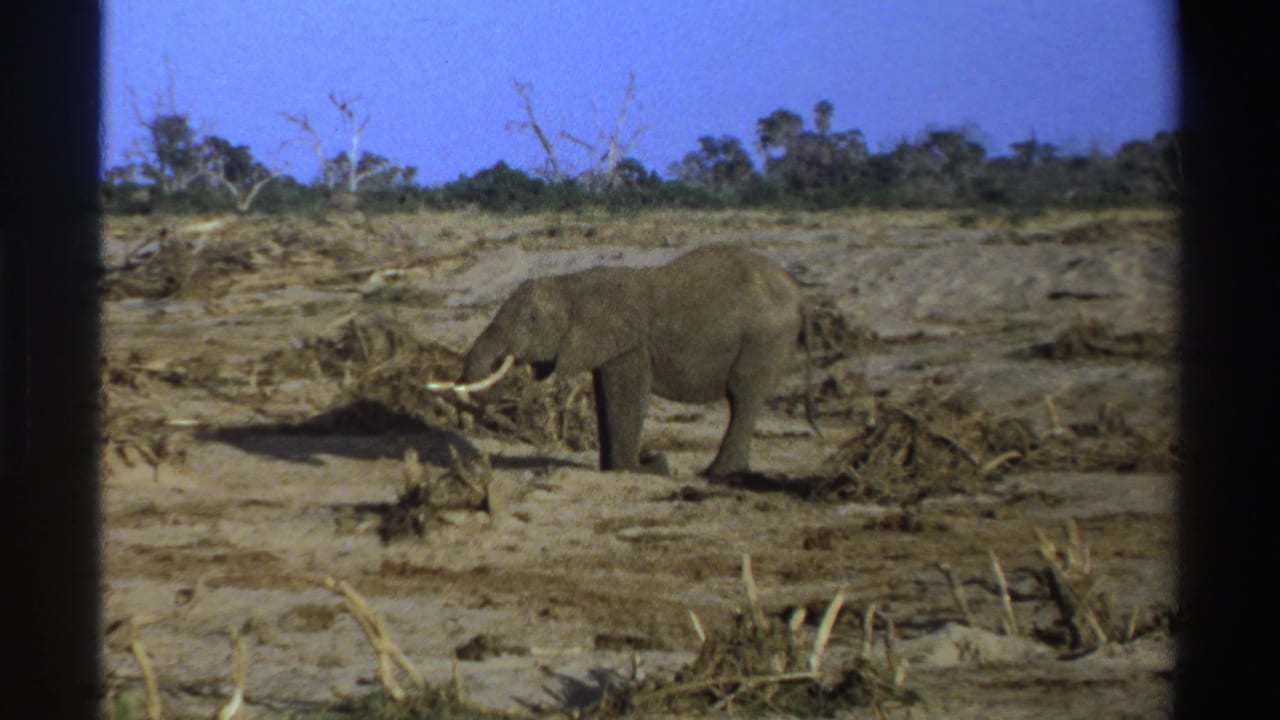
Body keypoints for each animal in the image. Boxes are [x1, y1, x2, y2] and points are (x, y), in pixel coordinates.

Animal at [435, 245, 817, 478]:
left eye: (531, 318)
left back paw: (716, 474)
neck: (572, 284)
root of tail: (800, 296)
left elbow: (625, 395)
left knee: (742, 396)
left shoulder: (629, 345)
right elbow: (606, 394)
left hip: (764, 339)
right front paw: (616, 470)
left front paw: (644, 469)